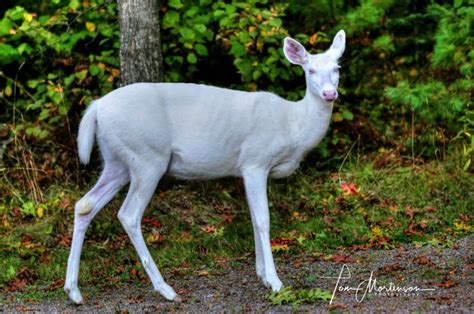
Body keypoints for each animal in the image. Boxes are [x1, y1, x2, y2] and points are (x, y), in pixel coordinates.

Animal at [65, 30, 344, 302]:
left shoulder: (245, 169)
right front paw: (275, 282)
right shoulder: (255, 160)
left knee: (85, 205)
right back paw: (166, 290)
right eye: (310, 70)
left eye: (337, 68)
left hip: (116, 161)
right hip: (147, 156)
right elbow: (263, 219)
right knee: (129, 214)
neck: (293, 125)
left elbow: (253, 218)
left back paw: (73, 291)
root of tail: (96, 107)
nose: (329, 93)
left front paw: (262, 275)